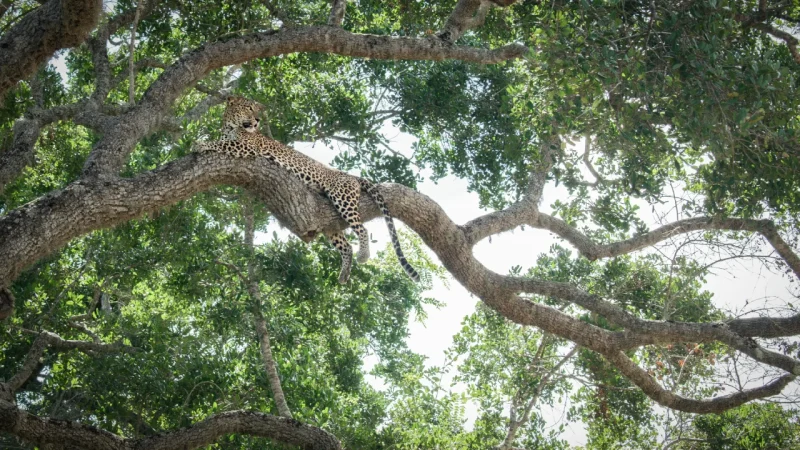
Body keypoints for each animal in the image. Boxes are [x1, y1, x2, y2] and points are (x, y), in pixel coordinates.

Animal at [194, 96, 420, 285]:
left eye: (257, 109)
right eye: (249, 108)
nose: (257, 120)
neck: (230, 125)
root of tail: (351, 175)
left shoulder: (247, 147)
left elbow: (223, 143)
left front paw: (200, 143)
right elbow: (222, 141)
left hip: (342, 198)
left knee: (362, 229)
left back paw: (363, 256)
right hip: (330, 221)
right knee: (345, 245)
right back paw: (344, 274)